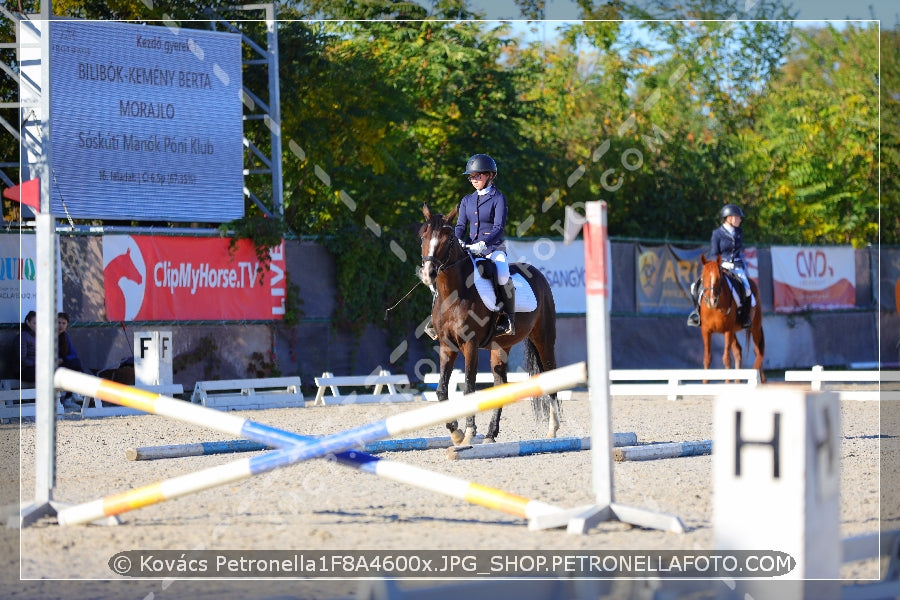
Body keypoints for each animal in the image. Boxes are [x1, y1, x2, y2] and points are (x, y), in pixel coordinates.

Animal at [418, 206, 560, 446]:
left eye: (448, 239)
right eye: (423, 236)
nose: (428, 274)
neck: (452, 294)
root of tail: (539, 276)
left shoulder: (470, 344)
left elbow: (469, 388)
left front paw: (468, 433)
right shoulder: (447, 346)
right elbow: (441, 391)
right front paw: (456, 432)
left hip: (544, 339)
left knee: (550, 374)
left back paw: (552, 430)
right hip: (500, 347)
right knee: (500, 384)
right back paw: (491, 434)